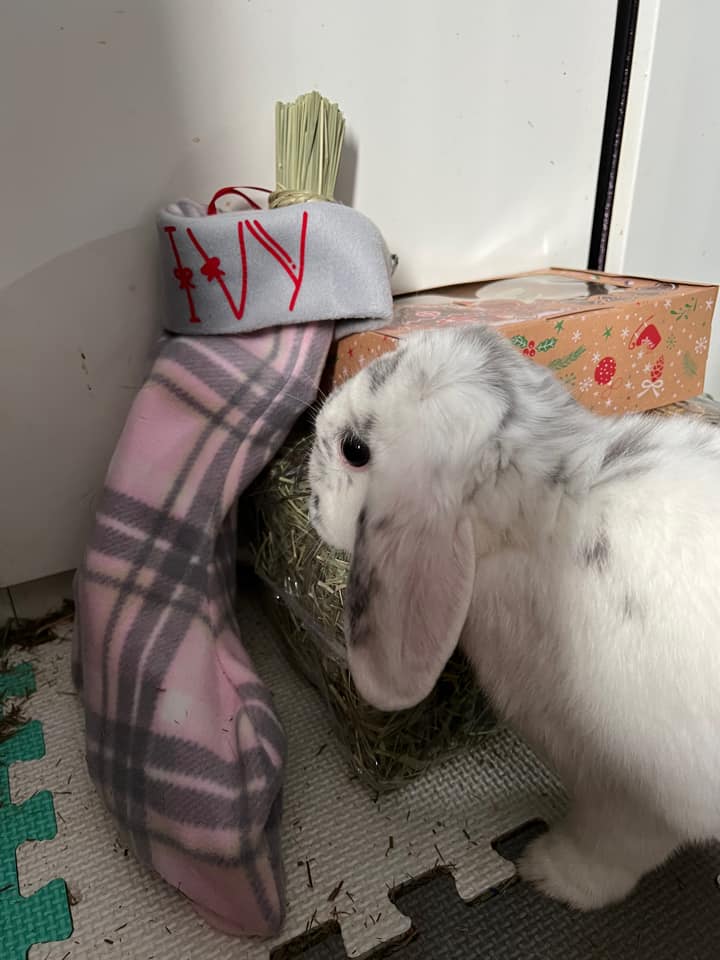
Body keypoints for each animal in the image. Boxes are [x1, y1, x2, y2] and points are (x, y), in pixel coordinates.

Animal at [310, 326, 720, 912]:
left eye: (355, 450)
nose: (312, 501)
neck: (548, 503)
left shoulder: (631, 793)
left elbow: (612, 848)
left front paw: (549, 872)